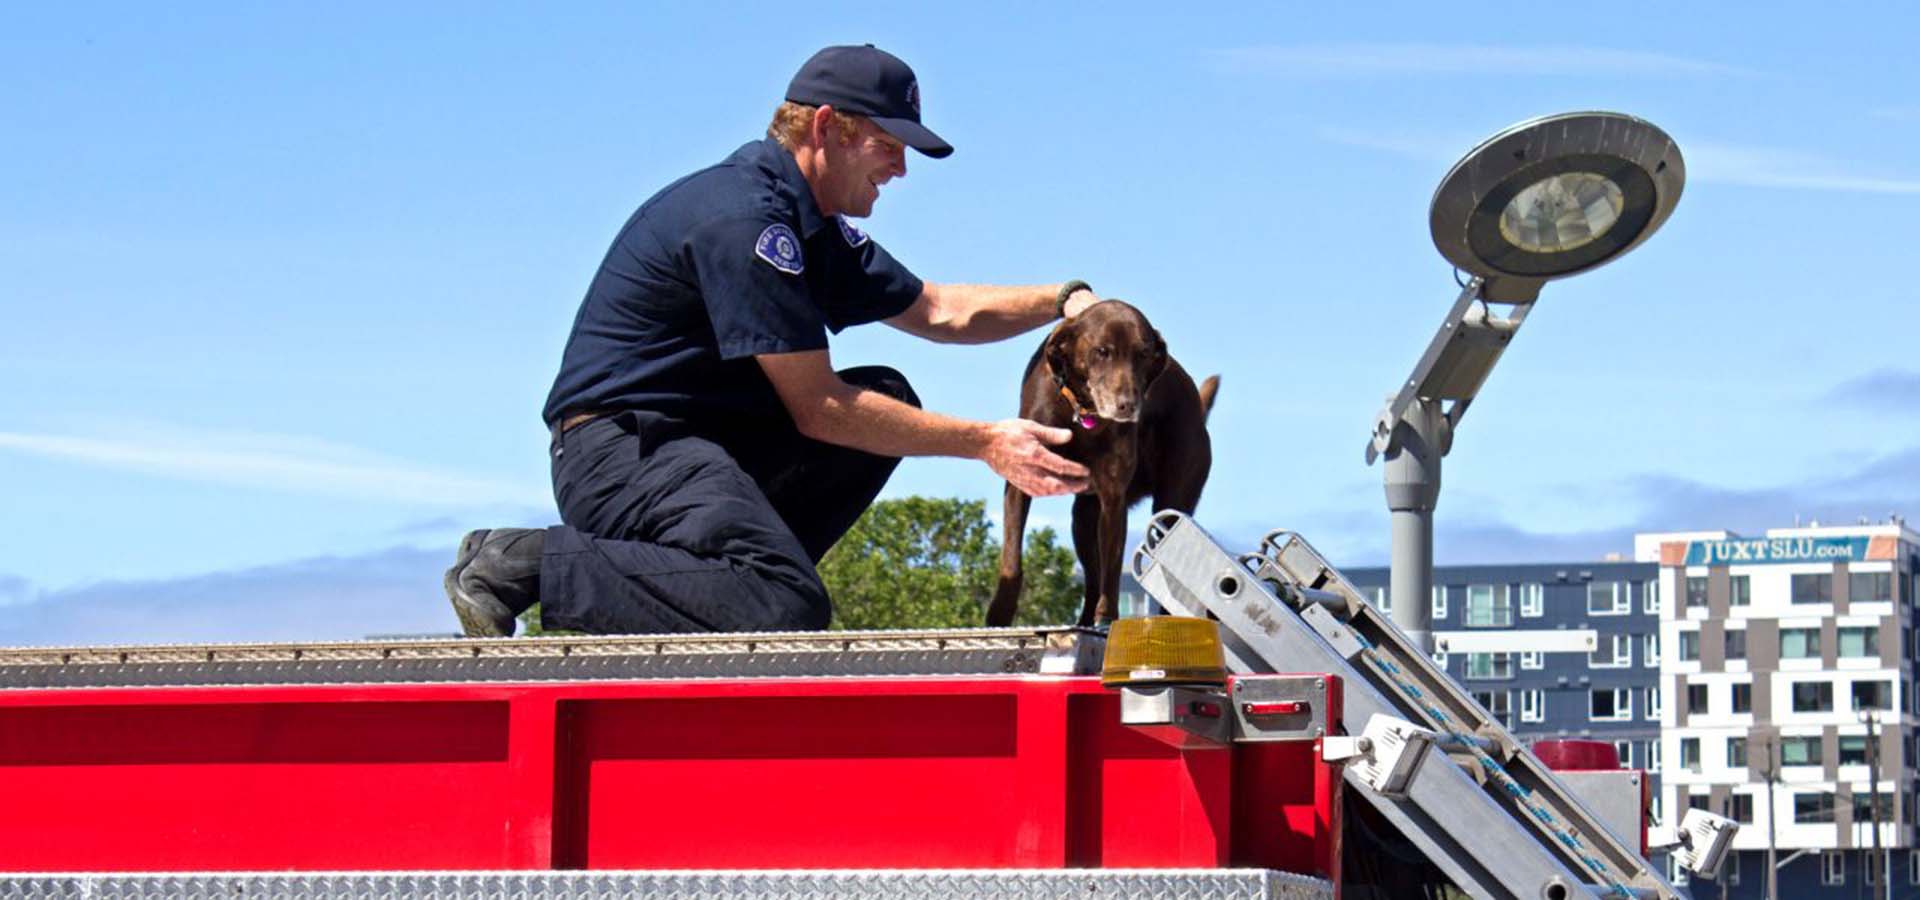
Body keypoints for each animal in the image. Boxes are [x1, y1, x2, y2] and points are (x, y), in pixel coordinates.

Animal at [990, 299, 1213, 625]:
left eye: (1143, 354)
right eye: (1102, 351)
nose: (1128, 406)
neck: (1083, 413)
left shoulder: (1113, 497)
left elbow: (1112, 568)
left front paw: (1107, 618)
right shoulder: (1020, 480)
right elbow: (1011, 559)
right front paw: (999, 613)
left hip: (1170, 508)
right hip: (1082, 518)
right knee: (1092, 578)